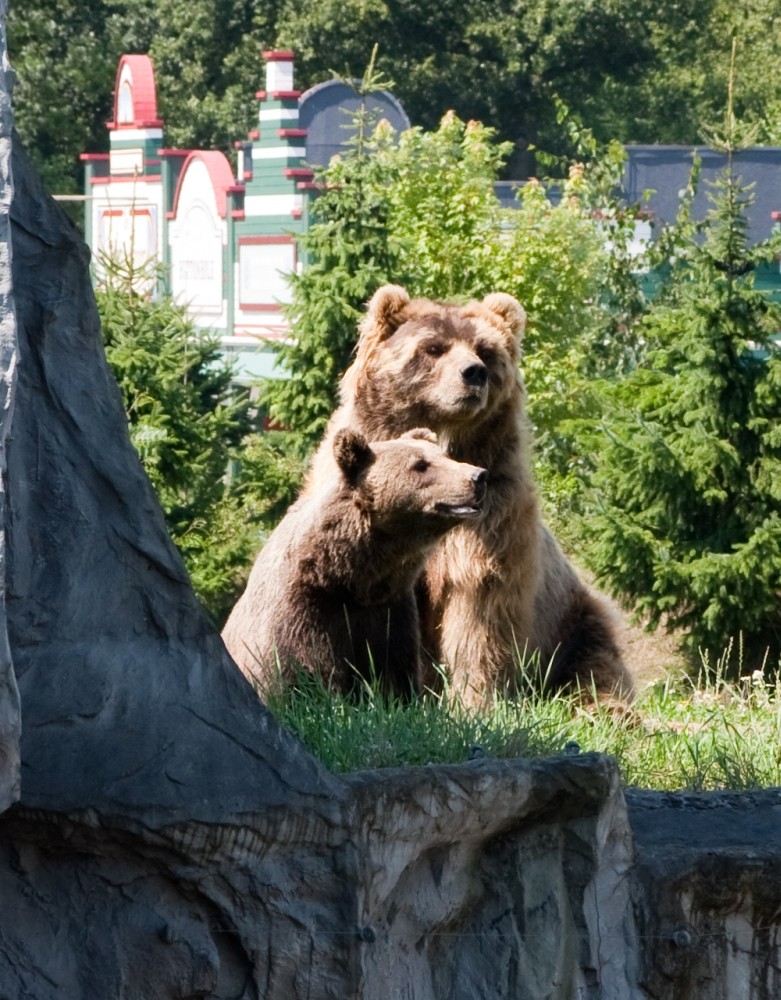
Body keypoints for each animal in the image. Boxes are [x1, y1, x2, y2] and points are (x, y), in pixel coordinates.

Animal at [221, 428, 482, 696]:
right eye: (420, 464)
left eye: (445, 456)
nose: (478, 476)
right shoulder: (304, 614)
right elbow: (306, 675)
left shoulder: (389, 613)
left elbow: (395, 673)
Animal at [304, 286, 632, 708]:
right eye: (433, 348)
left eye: (485, 350)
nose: (473, 372)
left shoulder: (491, 517)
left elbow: (478, 615)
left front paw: (475, 700)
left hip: (573, 620)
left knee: (595, 664)